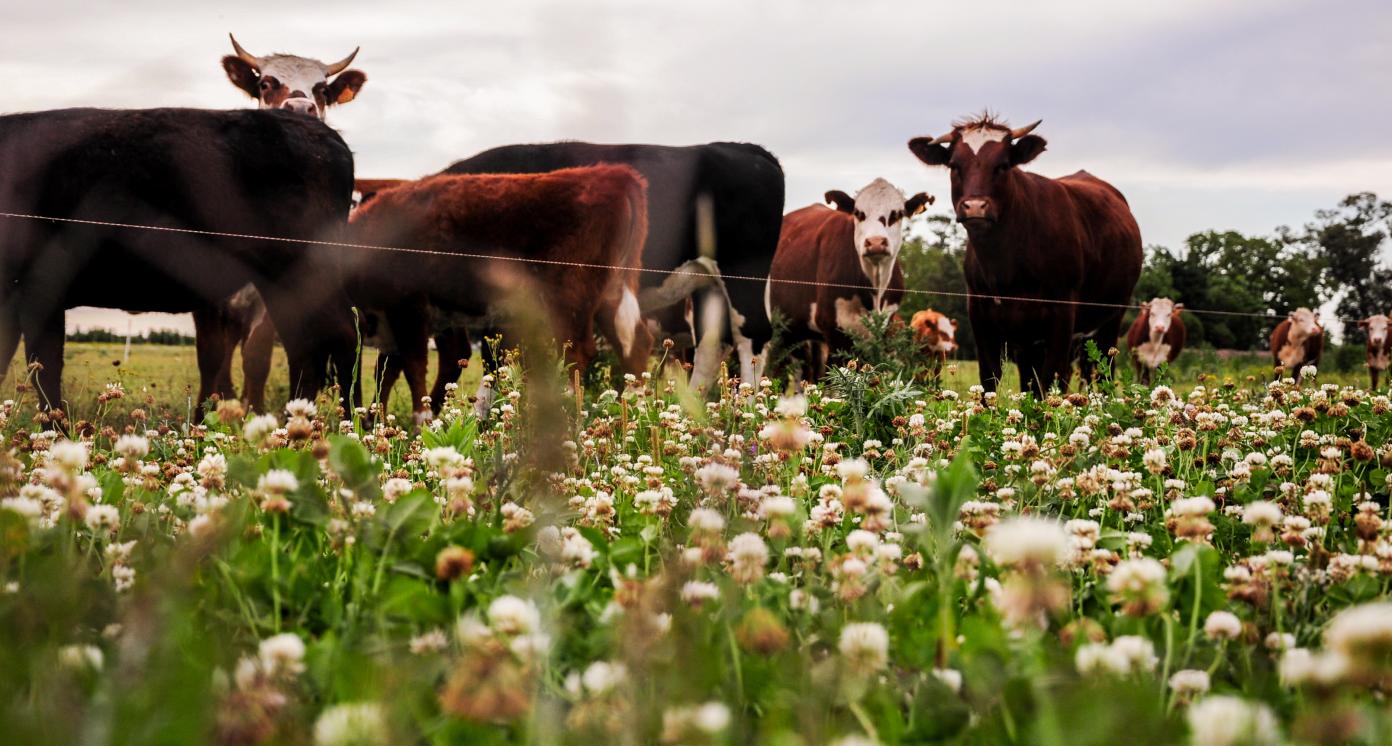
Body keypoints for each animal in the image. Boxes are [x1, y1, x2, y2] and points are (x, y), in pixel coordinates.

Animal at [1, 108, 359, 414]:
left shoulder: (40, 287)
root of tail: (325, 134)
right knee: (305, 347)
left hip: (299, 268)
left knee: (339, 336)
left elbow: (44, 369)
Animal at [345, 164, 654, 420]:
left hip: (569, 297)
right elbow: (386, 372)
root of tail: (614, 174)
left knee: (576, 351)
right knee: (635, 344)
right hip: (611, 294)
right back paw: (637, 414)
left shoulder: (408, 308)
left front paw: (420, 421)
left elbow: (413, 366)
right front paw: (374, 419)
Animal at [768, 178, 929, 381]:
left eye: (897, 214)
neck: (873, 293)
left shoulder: (881, 330)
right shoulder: (834, 330)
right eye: (859, 213)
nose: (876, 242)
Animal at [913, 113, 1141, 395]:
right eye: (954, 165)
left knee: (1101, 372)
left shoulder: (1062, 315)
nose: (975, 206)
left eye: (1003, 165)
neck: (1005, 266)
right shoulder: (981, 315)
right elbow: (990, 380)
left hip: (1110, 319)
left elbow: (1051, 381)